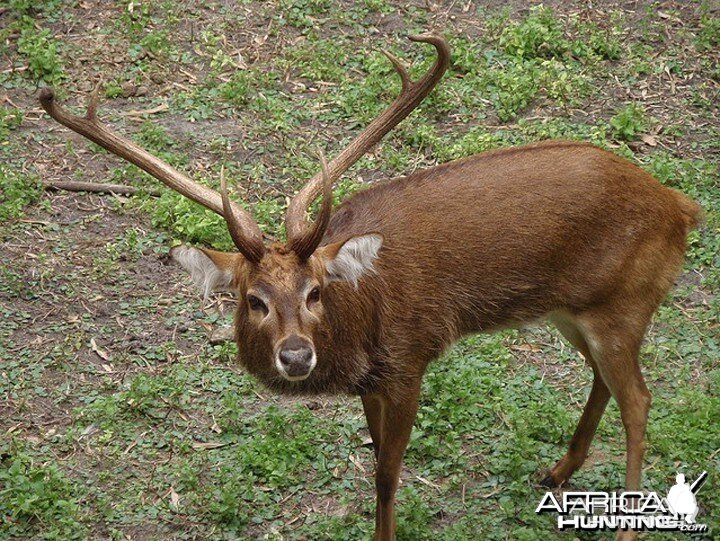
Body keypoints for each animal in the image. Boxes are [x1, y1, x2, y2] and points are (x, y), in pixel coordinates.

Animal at [36, 33, 700, 540]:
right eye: (253, 299)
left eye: (314, 292)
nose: (296, 355)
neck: (360, 328)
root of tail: (681, 207)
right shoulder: (371, 382)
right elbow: (375, 459)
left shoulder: (410, 360)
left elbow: (386, 474)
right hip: (577, 309)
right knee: (604, 381)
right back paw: (557, 474)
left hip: (625, 302)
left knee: (640, 399)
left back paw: (624, 523)